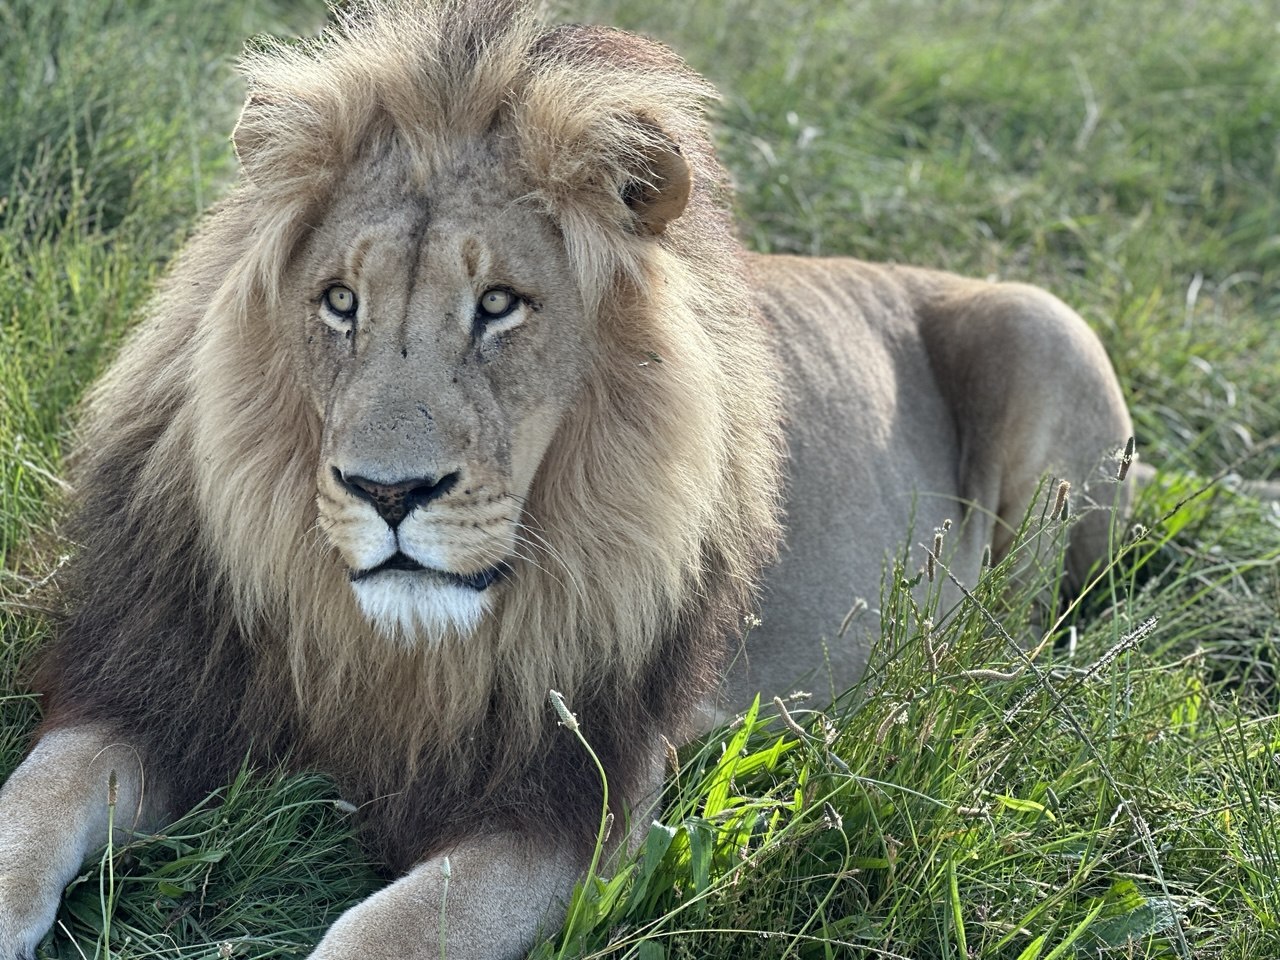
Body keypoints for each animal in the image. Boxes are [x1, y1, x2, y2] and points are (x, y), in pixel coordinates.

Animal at [0, 1, 1133, 958]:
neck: (395, 650)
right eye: (338, 302)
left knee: (1021, 640)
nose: (388, 494)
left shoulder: (583, 804)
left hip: (1041, 329)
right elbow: (31, 805)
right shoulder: (163, 682)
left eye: (500, 304)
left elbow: (395, 929)